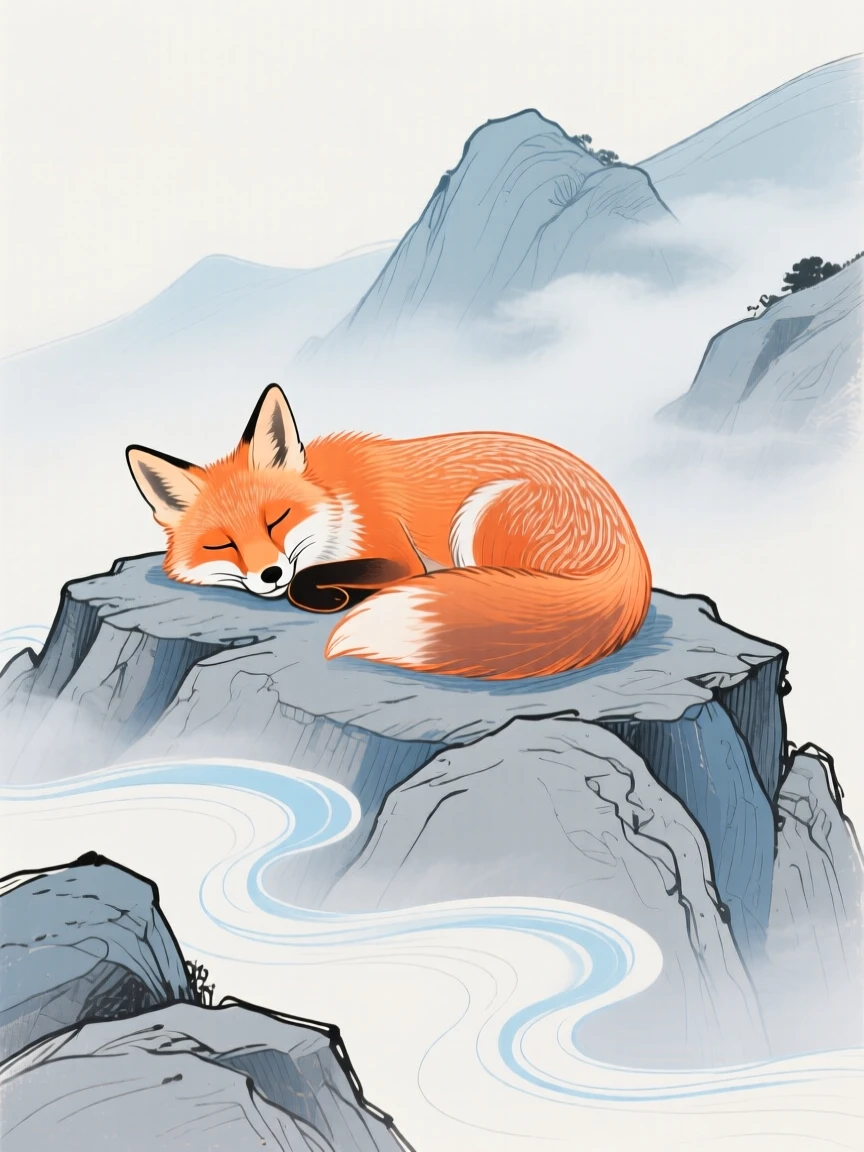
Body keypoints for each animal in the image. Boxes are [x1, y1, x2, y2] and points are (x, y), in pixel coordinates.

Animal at [126, 384, 651, 680]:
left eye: (278, 519)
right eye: (222, 544)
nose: (269, 573)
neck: (337, 497)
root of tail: (630, 541)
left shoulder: (400, 556)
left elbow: (312, 579)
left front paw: (329, 593)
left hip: (478, 518)